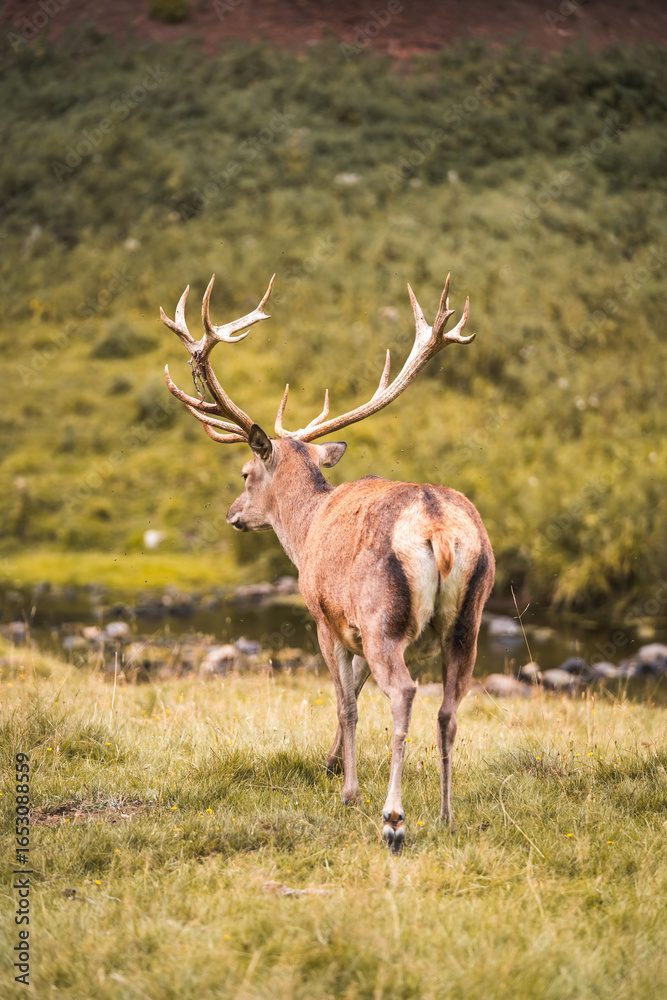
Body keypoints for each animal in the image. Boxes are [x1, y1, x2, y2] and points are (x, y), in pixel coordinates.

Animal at [159, 271, 495, 852]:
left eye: (245, 473)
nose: (232, 515)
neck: (307, 527)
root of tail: (437, 526)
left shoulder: (324, 616)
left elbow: (346, 701)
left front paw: (347, 790)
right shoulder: (354, 630)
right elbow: (354, 691)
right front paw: (333, 763)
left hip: (386, 616)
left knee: (403, 692)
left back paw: (393, 818)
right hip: (467, 620)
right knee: (449, 709)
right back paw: (448, 814)